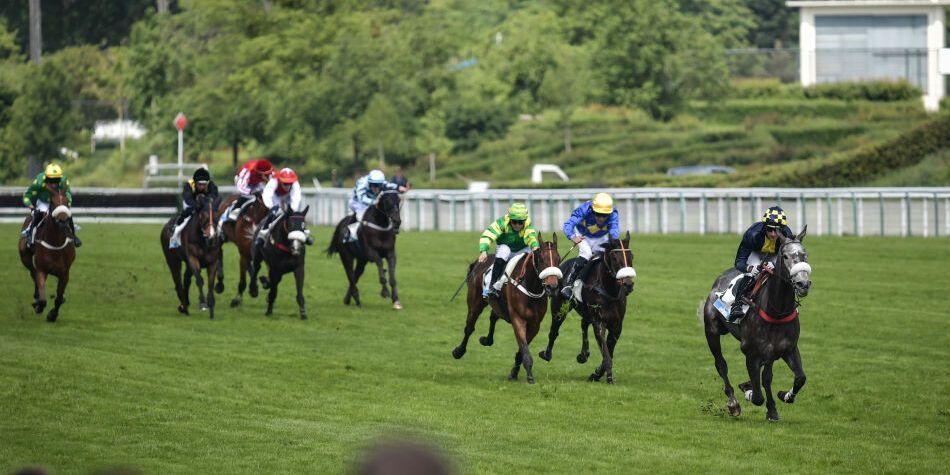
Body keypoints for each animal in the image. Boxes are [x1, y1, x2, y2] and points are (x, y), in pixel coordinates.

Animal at [18, 182, 76, 324]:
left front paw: (52, 314)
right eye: (53, 202)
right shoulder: (42, 269)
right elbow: (43, 299)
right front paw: (39, 305)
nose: (63, 220)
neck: (55, 242)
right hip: (25, 257)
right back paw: (36, 297)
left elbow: (59, 298)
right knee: (32, 272)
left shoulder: (65, 273)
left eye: (67, 202)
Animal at [454, 236, 564, 384]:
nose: (552, 287)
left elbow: (522, 350)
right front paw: (530, 376)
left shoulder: (535, 324)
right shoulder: (518, 318)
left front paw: (514, 373)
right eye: (541, 259)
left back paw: (486, 340)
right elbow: (524, 348)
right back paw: (458, 351)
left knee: (493, 316)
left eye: (558, 259)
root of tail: (479, 262)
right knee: (469, 328)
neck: (530, 286)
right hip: (475, 303)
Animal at [540, 232, 636, 384]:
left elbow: (609, 351)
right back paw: (547, 354)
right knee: (554, 331)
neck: (608, 290)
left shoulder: (617, 325)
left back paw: (583, 354)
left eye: (631, 256)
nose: (628, 284)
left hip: (586, 312)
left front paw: (597, 373)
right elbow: (606, 352)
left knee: (583, 324)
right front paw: (606, 376)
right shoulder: (599, 321)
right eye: (615, 258)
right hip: (559, 308)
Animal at [704, 229, 816, 422]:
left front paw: (783, 397)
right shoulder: (751, 353)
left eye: (805, 255)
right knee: (721, 365)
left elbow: (799, 378)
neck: (776, 311)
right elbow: (757, 396)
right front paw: (748, 391)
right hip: (711, 331)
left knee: (766, 376)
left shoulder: (787, 349)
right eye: (785, 256)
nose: (803, 284)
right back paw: (733, 403)